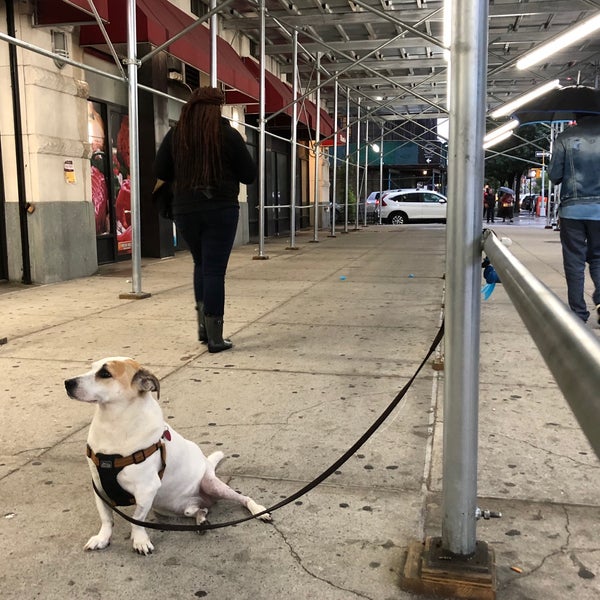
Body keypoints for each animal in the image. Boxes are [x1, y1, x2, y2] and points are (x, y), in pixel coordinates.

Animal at [65, 354, 270, 556]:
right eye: (91, 368)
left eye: (105, 373)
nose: (67, 382)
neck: (114, 424)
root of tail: (208, 466)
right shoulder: (99, 488)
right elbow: (106, 518)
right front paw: (103, 538)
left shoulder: (146, 490)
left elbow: (136, 520)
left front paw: (140, 540)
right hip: (171, 508)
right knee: (200, 509)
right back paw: (201, 519)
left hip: (211, 484)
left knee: (243, 498)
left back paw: (257, 509)